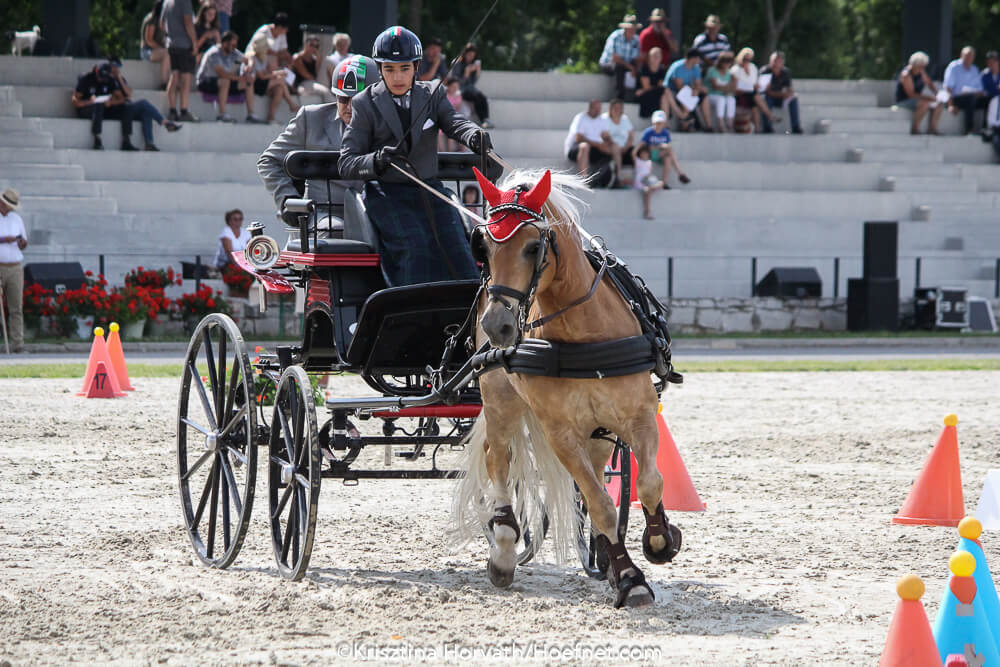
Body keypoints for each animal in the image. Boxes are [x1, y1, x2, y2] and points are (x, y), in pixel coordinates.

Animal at [451, 167, 682, 608]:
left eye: (532, 246)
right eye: (484, 246)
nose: (497, 326)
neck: (583, 333)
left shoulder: (639, 415)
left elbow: (649, 483)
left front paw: (660, 540)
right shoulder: (561, 434)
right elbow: (601, 504)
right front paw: (631, 579)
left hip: (598, 433)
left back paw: (606, 557)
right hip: (501, 400)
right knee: (498, 458)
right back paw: (504, 548)